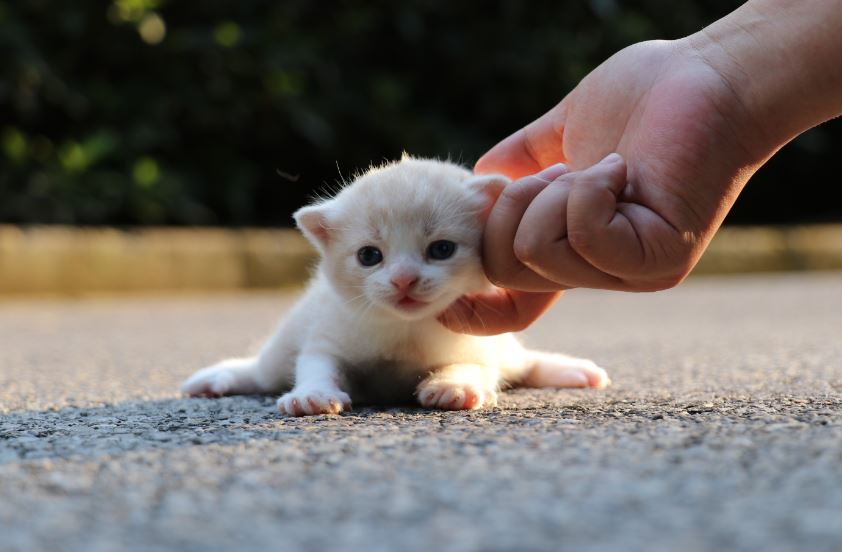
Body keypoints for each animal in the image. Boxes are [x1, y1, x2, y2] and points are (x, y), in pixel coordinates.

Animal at [180, 155, 608, 414]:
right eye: (369, 256)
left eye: (441, 249)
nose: (404, 279)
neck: (404, 329)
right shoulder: (328, 334)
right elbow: (317, 364)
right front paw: (312, 396)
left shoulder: (479, 342)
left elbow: (471, 365)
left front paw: (454, 386)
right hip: (280, 349)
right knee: (259, 371)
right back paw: (216, 379)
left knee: (523, 362)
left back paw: (573, 371)